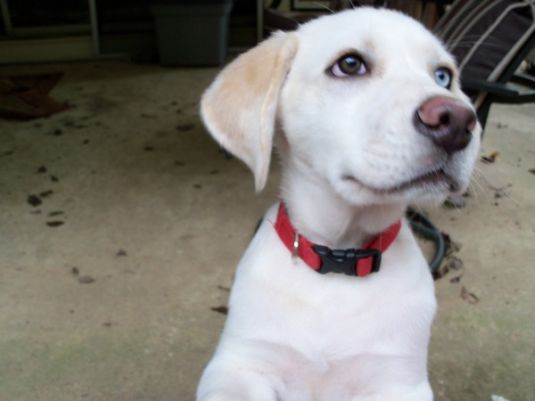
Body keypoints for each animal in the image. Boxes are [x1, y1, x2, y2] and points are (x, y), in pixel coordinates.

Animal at [197, 7, 482, 400]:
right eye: (349, 64)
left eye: (443, 76)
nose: (457, 121)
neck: (339, 260)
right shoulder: (237, 364)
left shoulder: (401, 381)